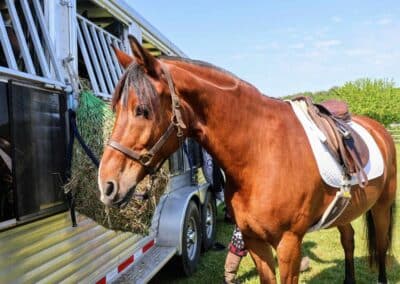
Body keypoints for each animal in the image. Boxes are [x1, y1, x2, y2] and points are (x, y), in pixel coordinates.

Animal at [99, 36, 396, 284]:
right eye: (115, 108)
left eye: (142, 110)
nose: (107, 185)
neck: (261, 153)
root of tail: (380, 130)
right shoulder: (254, 240)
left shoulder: (289, 244)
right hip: (346, 210)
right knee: (349, 240)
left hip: (382, 205)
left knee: (381, 247)